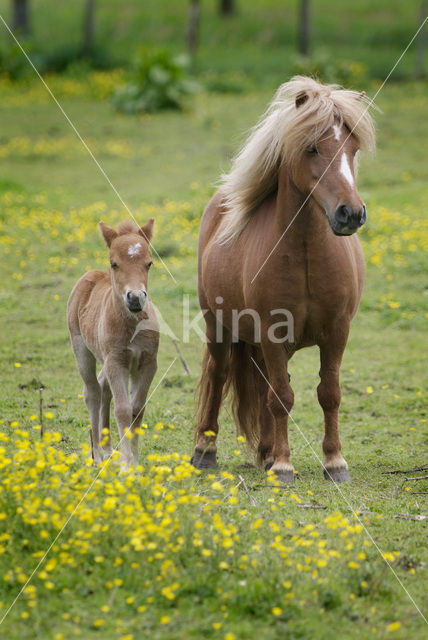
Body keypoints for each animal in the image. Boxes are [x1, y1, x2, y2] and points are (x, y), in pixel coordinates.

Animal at [192, 76, 376, 480]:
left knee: (263, 385)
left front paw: (334, 462)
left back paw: (265, 452)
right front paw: (284, 466)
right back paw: (206, 451)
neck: (306, 254)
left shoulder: (337, 332)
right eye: (312, 147)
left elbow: (328, 393)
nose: (351, 213)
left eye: (352, 148)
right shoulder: (272, 332)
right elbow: (282, 397)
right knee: (219, 374)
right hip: (219, 327)